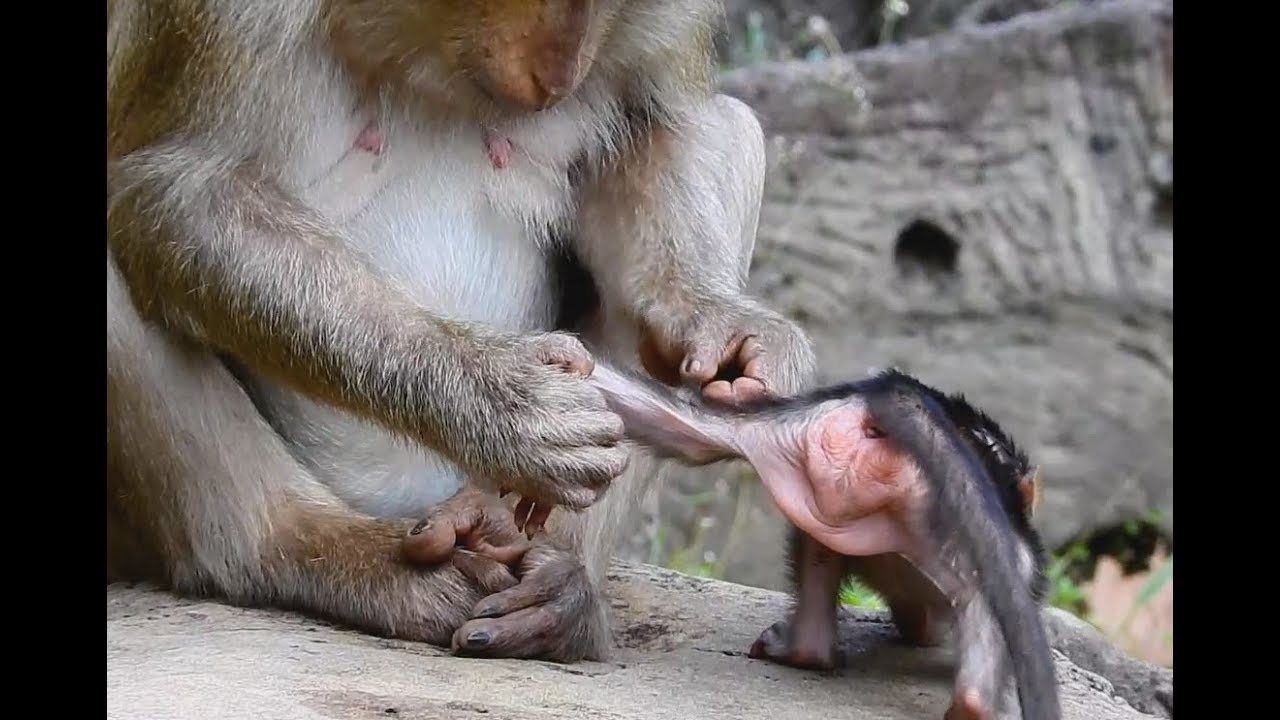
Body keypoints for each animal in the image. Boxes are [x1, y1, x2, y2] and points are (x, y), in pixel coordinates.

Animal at [106, 0, 817, 664]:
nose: (554, 80)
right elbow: (180, 188)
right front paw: (506, 403)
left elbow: (654, 126)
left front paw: (717, 318)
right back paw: (307, 549)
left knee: (731, 128)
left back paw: (553, 581)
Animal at [582, 363, 1059, 720]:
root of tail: (889, 393)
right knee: (999, 585)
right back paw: (976, 707)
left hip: (792, 432)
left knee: (682, 428)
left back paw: (805, 650)